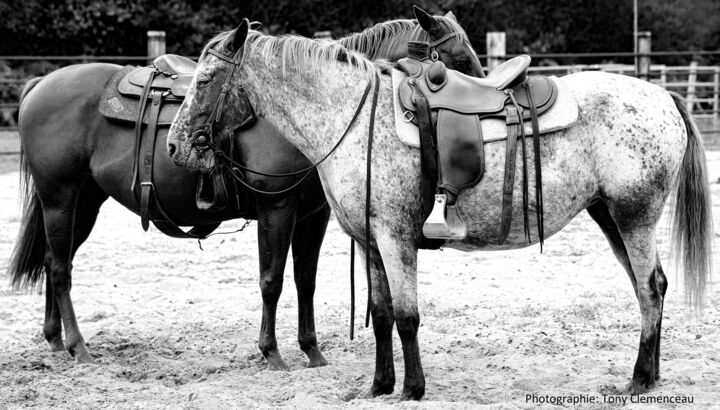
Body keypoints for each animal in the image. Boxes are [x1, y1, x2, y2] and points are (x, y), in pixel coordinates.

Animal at [7, 8, 484, 368]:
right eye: (456, 63)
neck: (309, 112)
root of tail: (40, 85)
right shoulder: (277, 208)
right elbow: (271, 279)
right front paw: (272, 353)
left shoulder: (313, 215)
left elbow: (305, 280)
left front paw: (312, 352)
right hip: (60, 198)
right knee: (60, 268)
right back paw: (78, 346)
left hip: (84, 202)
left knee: (54, 260)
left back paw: (55, 340)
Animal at [166, 20, 712, 398]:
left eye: (207, 79)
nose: (175, 145)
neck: (352, 117)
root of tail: (663, 94)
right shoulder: (370, 240)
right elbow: (382, 313)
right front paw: (379, 385)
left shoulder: (394, 236)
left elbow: (407, 315)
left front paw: (412, 388)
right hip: (609, 216)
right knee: (648, 288)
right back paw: (650, 376)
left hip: (634, 215)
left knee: (651, 286)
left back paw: (639, 379)